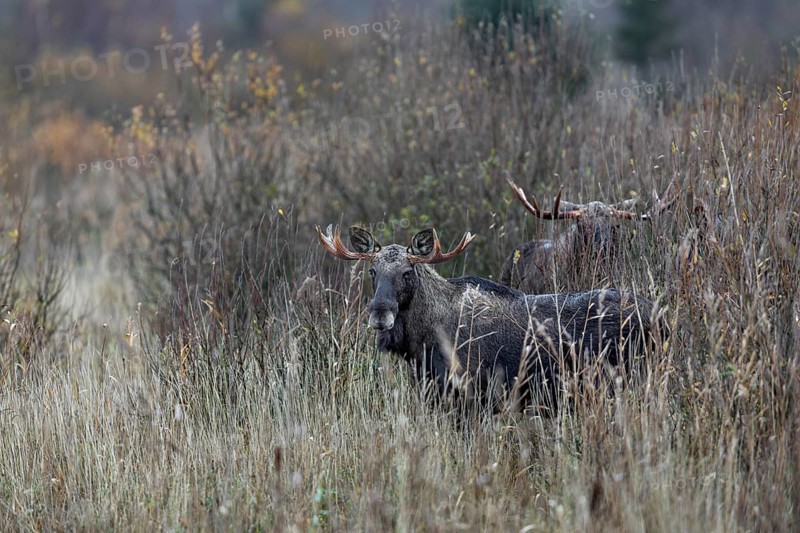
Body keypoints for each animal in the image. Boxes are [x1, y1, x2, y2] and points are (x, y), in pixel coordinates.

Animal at [317, 224, 662, 413]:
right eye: (372, 271)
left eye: (407, 272)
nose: (380, 314)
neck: (421, 344)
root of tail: (664, 318)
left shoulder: (471, 396)